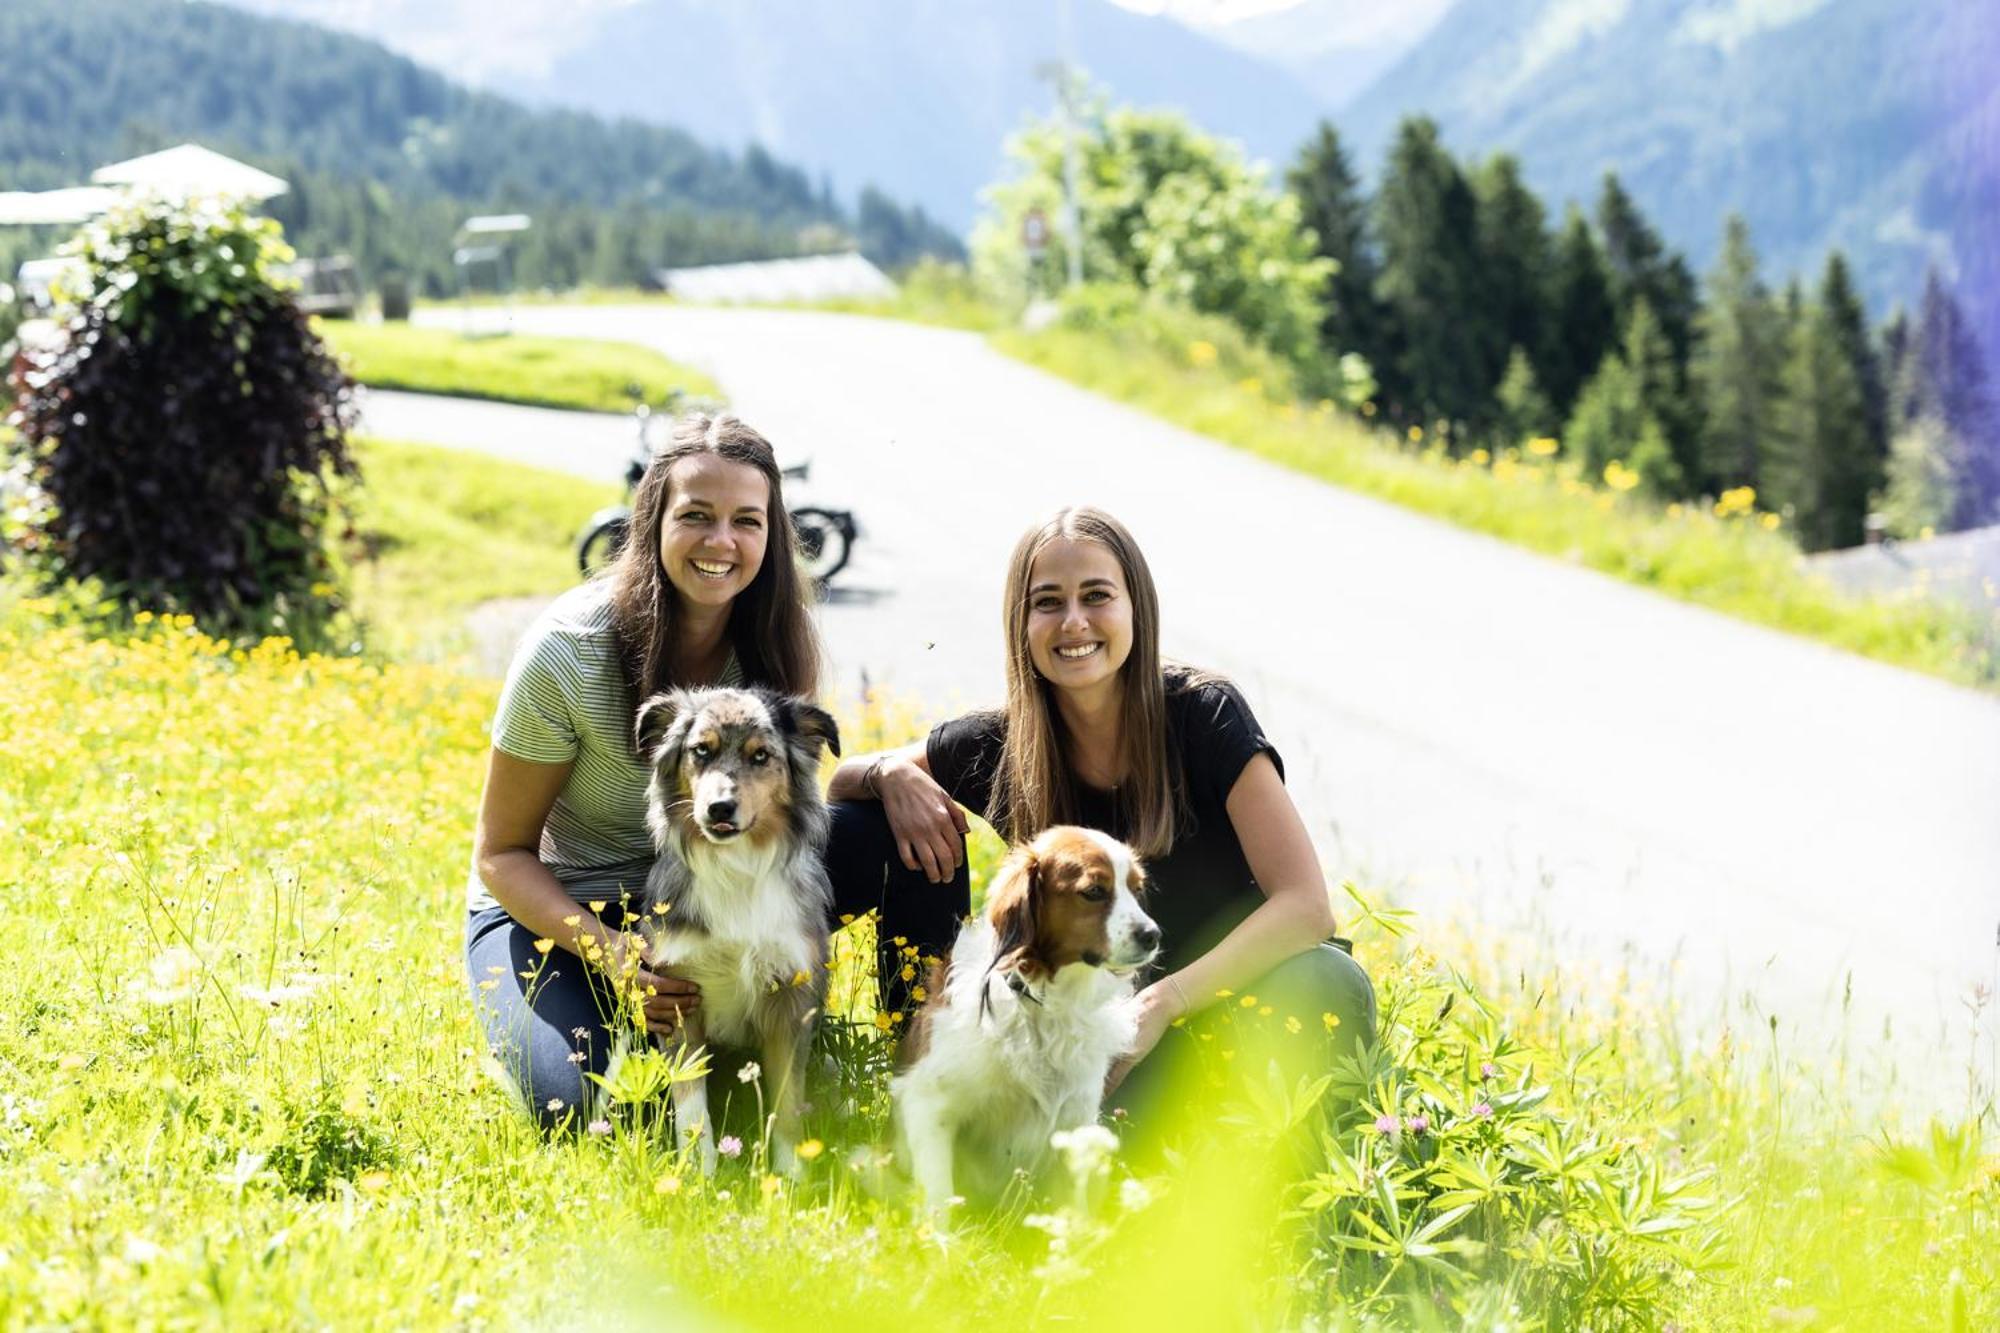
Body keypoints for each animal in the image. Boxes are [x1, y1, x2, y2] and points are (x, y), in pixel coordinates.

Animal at [632, 684, 836, 1176]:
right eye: (700, 751)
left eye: (761, 756)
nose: (719, 808)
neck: (735, 866)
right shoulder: (679, 995)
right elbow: (691, 1101)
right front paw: (699, 1172)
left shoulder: (788, 998)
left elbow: (786, 1099)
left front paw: (790, 1173)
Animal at [892, 820, 1160, 1200]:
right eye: (1094, 891)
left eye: (1136, 890)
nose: (1153, 935)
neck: (1043, 1002)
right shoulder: (928, 1104)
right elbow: (940, 1197)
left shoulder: (1076, 1120)